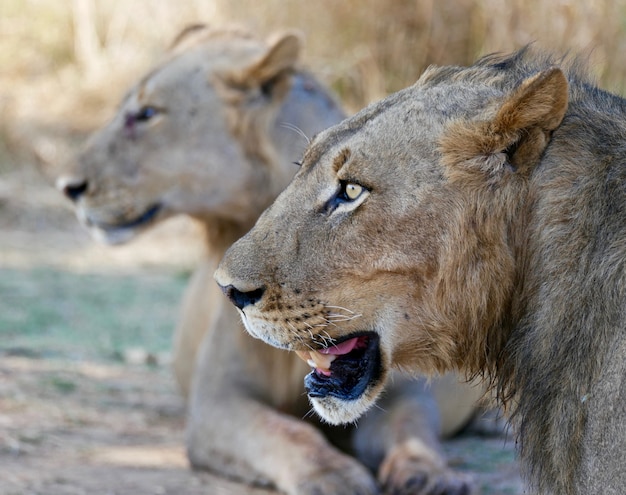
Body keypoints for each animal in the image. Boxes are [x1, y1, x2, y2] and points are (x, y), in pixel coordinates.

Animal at [56, 25, 482, 495]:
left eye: (147, 114)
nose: (67, 187)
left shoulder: (402, 389)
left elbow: (412, 428)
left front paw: (432, 475)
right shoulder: (217, 401)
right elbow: (287, 431)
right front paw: (333, 476)